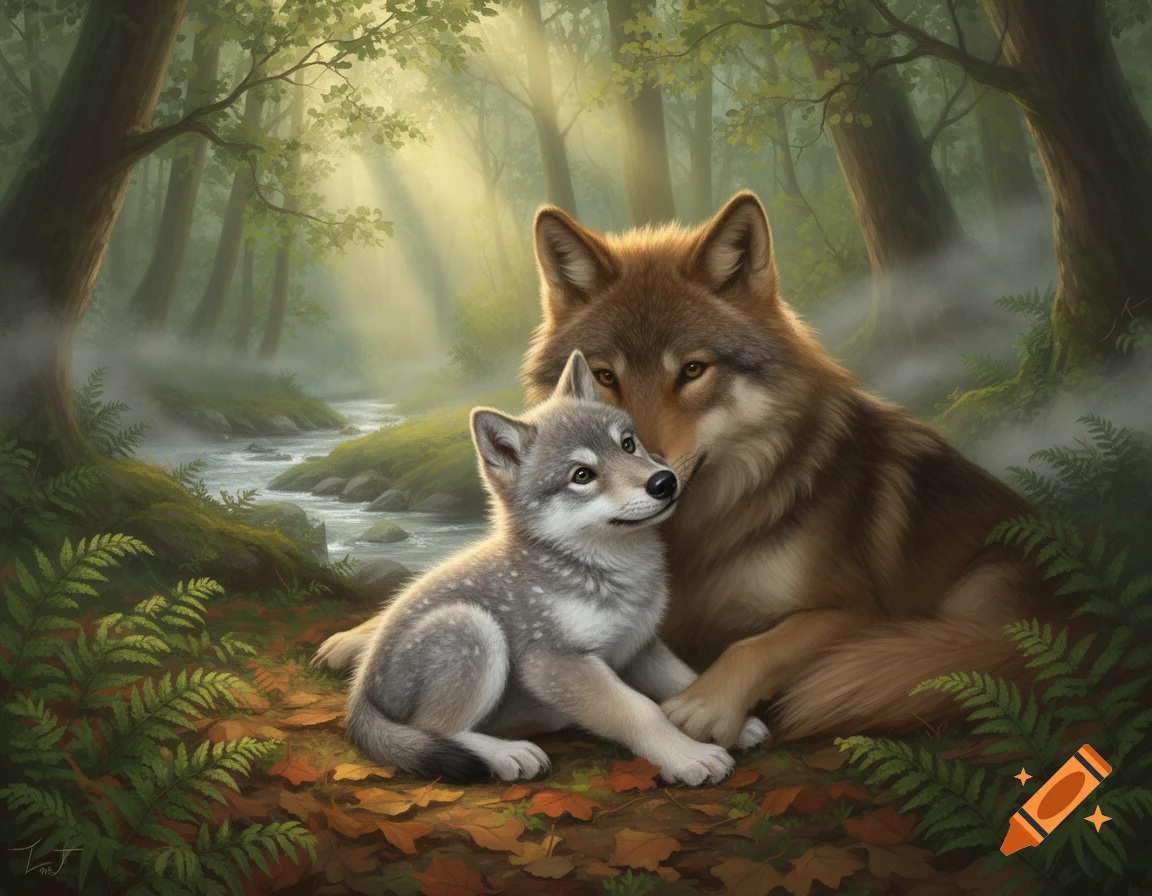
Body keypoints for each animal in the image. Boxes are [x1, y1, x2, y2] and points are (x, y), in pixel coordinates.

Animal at [319, 350, 769, 784]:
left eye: (627, 445)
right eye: (582, 475)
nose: (664, 482)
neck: (599, 570)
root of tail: (360, 693)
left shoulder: (639, 645)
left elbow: (687, 682)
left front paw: (719, 721)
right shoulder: (558, 665)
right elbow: (641, 711)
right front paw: (689, 756)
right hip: (473, 628)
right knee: (434, 729)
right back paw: (506, 755)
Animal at [516, 191, 1051, 748]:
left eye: (692, 370)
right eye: (603, 377)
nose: (653, 480)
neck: (700, 540)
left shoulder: (856, 612)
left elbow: (757, 645)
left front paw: (702, 708)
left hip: (979, 591)